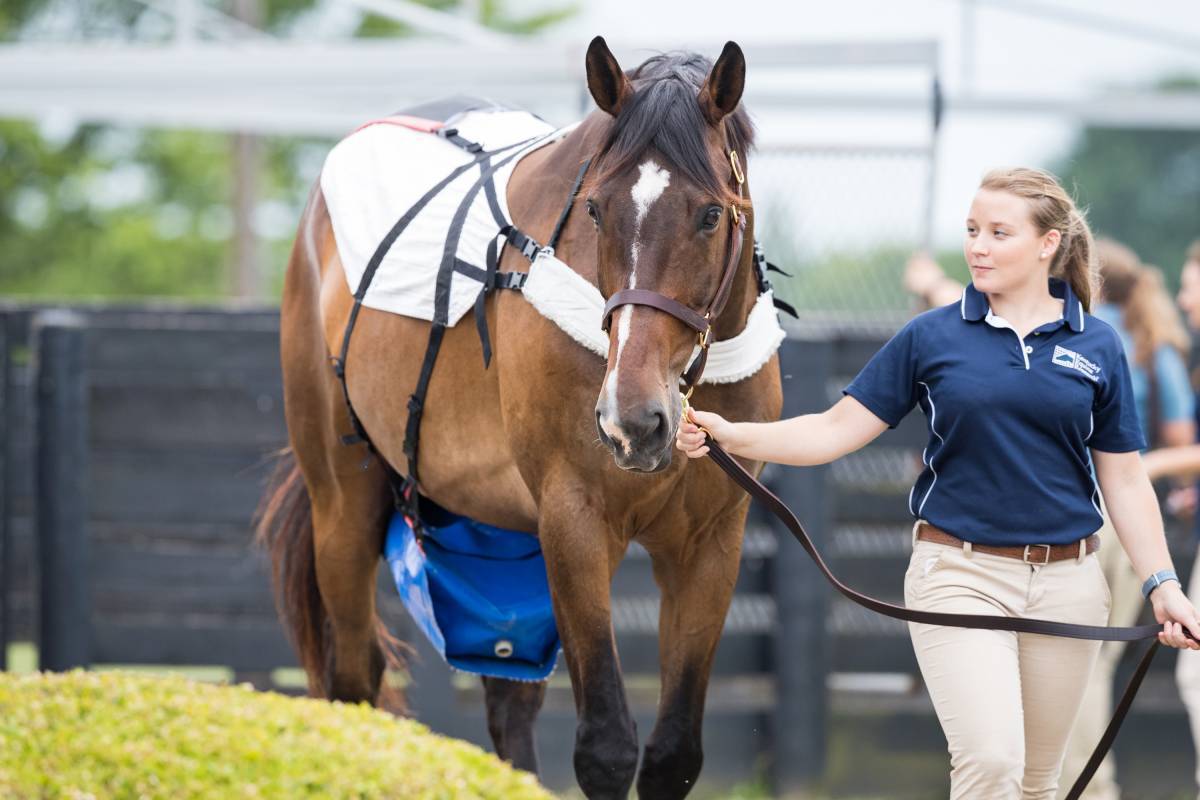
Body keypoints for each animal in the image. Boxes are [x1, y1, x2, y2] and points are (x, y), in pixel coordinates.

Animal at [258, 37, 782, 800]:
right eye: (595, 211)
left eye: (711, 214)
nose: (633, 420)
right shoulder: (574, 518)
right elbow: (606, 746)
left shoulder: (711, 541)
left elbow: (673, 753)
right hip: (342, 499)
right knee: (354, 679)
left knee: (509, 706)